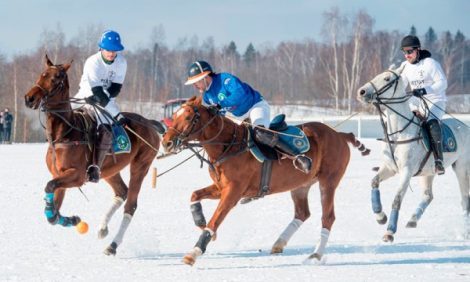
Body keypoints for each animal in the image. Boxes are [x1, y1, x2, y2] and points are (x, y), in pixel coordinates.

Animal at [24, 55, 162, 256]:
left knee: (131, 204)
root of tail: (150, 123)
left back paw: (112, 246)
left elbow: (49, 188)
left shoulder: (77, 176)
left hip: (141, 165)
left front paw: (69, 218)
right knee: (121, 192)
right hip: (110, 170)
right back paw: (102, 229)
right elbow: (53, 214)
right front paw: (72, 219)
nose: (29, 98)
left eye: (56, 78)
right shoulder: (59, 175)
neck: (64, 133)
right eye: (42, 74)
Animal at [162, 96, 370, 266]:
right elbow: (194, 195)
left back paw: (316, 255)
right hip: (301, 185)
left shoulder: (233, 192)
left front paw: (193, 253)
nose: (166, 143)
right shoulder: (221, 188)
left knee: (328, 216)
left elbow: (215, 220)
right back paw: (279, 244)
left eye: (189, 118)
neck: (227, 146)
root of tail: (340, 134)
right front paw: (200, 221)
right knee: (302, 213)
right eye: (174, 115)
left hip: (329, 181)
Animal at [356, 65, 470, 242]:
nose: (361, 92)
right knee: (428, 195)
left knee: (465, 200)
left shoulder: (406, 171)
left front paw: (389, 232)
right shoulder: (390, 168)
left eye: (387, 78)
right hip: (429, 172)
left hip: (462, 168)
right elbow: (374, 182)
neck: (398, 133)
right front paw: (380, 216)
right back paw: (412, 220)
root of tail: (466, 126)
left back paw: (464, 233)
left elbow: (397, 199)